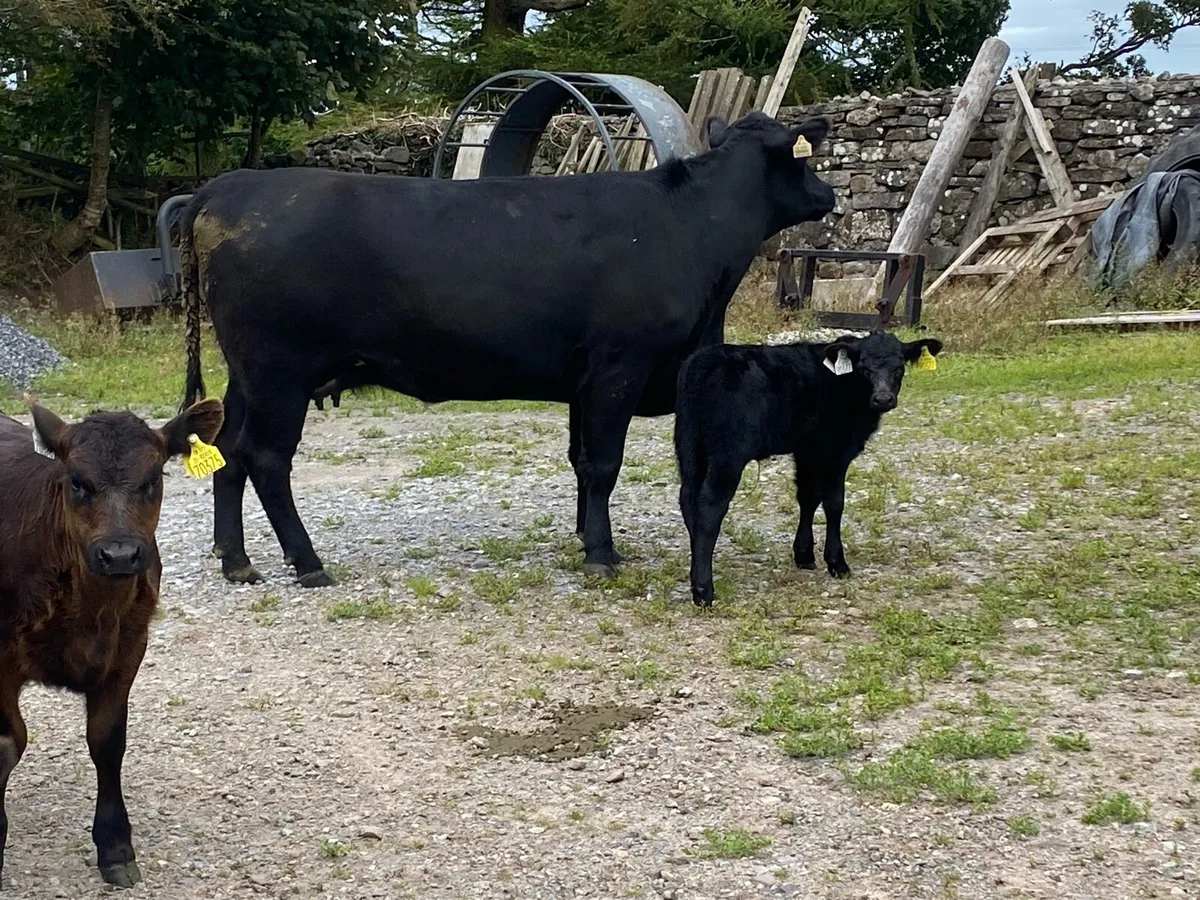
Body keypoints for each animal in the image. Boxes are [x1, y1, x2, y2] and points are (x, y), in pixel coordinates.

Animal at [0, 398, 223, 889]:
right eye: (76, 481)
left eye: (154, 478)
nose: (119, 554)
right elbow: (8, 742)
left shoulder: (128, 648)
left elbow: (107, 741)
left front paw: (116, 846)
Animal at [178, 110, 837, 588]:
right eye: (804, 158)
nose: (829, 194)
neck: (691, 229)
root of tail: (229, 186)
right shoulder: (617, 367)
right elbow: (603, 463)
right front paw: (602, 554)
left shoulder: (583, 379)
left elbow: (579, 461)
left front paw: (586, 537)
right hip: (279, 373)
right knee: (265, 459)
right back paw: (308, 563)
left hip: (246, 375)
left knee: (227, 453)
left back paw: (236, 561)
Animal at [673, 331, 942, 606]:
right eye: (864, 368)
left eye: (899, 367)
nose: (883, 399)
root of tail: (705, 361)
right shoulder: (837, 449)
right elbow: (834, 503)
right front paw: (837, 563)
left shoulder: (807, 449)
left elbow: (808, 497)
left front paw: (803, 554)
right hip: (728, 454)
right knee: (710, 507)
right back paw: (704, 590)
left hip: (689, 446)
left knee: (689, 499)